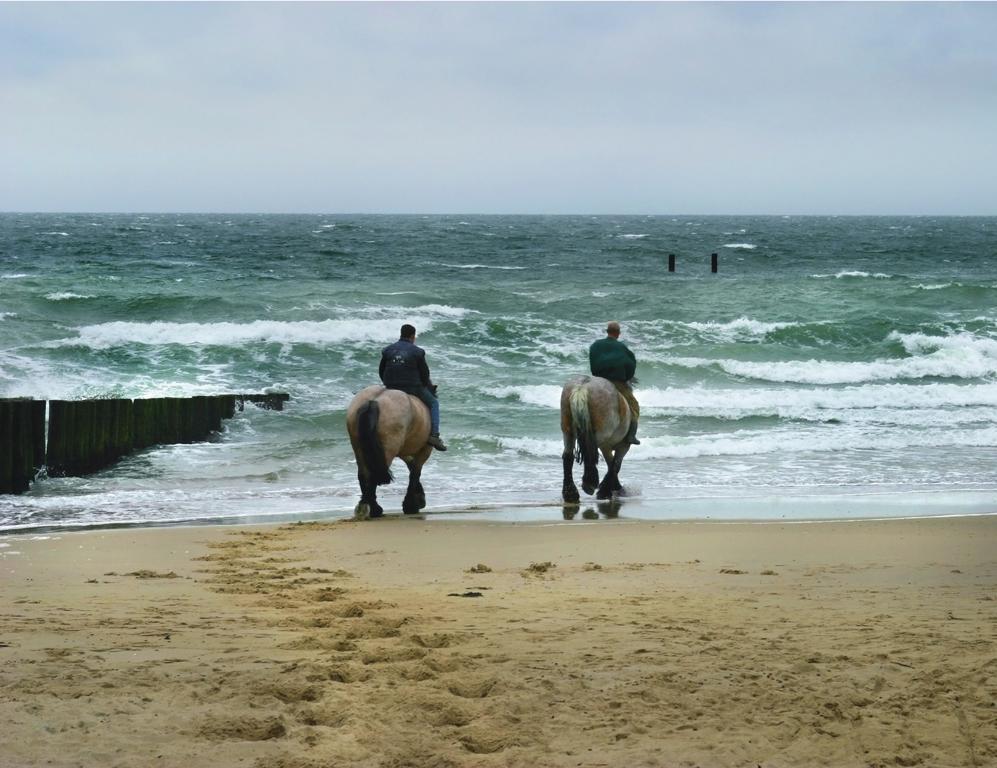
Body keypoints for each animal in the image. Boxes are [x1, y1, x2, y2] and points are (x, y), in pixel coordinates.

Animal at [346, 388, 432, 520]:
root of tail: (374, 401)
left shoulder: (403, 452)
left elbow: (411, 466)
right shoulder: (425, 449)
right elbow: (415, 472)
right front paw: (411, 505)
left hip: (359, 448)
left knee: (364, 475)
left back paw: (366, 506)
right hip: (388, 449)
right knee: (373, 475)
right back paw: (374, 509)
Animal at [556, 374, 636, 504]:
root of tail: (582, 387)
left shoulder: (606, 447)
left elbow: (611, 463)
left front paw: (612, 487)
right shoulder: (623, 446)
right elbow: (615, 464)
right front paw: (607, 489)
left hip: (567, 431)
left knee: (568, 456)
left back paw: (570, 493)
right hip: (598, 435)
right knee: (589, 452)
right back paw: (589, 483)